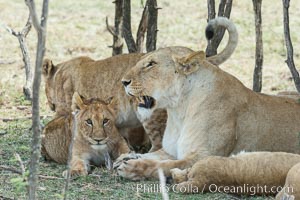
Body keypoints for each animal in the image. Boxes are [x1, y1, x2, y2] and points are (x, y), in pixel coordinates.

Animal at [114, 16, 300, 180]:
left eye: (151, 64)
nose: (123, 81)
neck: (179, 110)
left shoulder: (204, 156)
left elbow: (163, 166)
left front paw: (133, 168)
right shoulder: (169, 150)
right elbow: (151, 154)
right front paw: (127, 157)